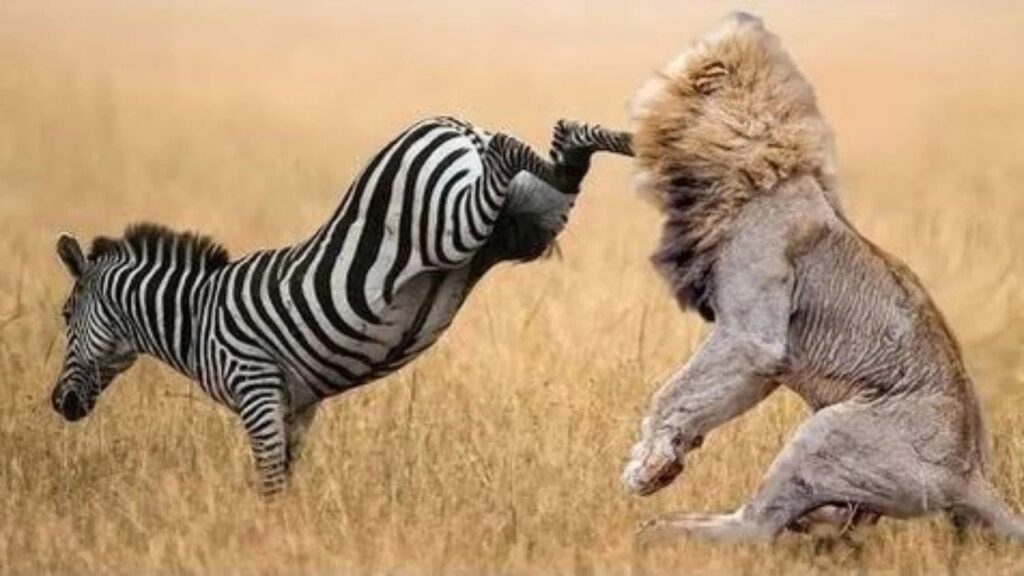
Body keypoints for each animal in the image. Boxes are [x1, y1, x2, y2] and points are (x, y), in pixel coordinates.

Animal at [51, 116, 633, 494]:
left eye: (64, 317)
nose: (58, 404)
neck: (194, 318)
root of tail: (454, 124)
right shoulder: (297, 406)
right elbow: (286, 478)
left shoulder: (255, 387)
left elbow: (269, 481)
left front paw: (266, 536)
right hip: (526, 227)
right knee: (565, 155)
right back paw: (619, 139)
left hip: (452, 222)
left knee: (507, 149)